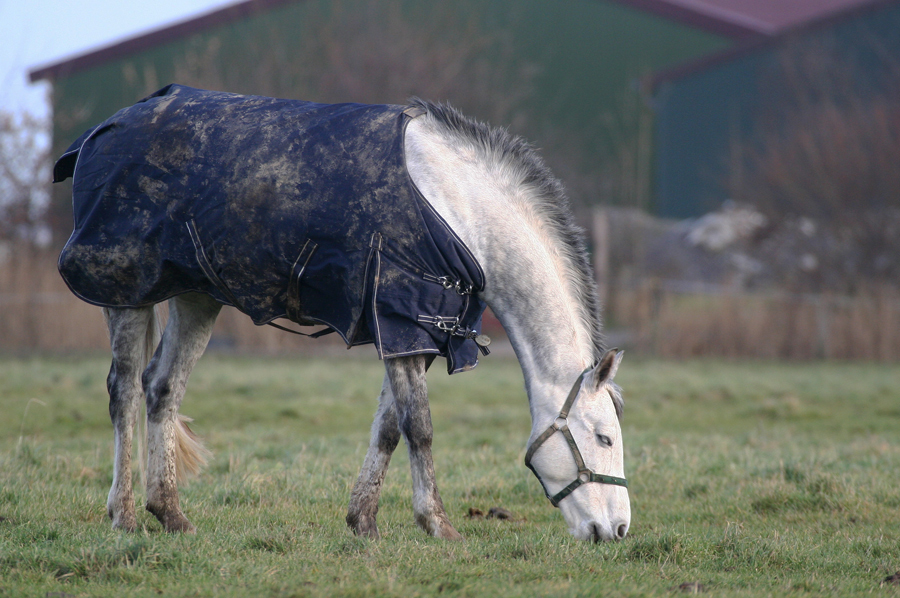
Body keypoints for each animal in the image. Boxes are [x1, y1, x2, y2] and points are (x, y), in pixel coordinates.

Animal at [56, 85, 628, 544]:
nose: (618, 530)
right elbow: (420, 427)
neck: (460, 213)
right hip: (125, 292)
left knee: (162, 388)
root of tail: (100, 133)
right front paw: (438, 525)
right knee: (124, 392)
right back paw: (125, 515)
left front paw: (364, 521)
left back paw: (171, 515)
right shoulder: (402, 325)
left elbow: (390, 427)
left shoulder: (411, 333)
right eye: (604, 437)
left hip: (197, 297)